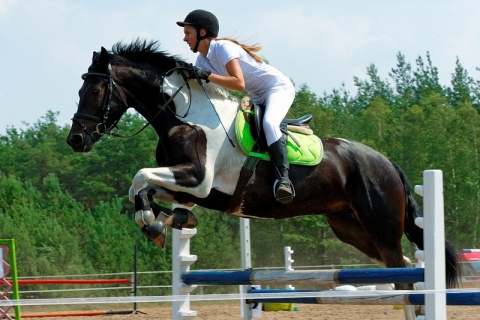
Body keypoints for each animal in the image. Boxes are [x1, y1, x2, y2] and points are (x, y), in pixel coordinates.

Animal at [65, 38, 460, 292]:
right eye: (81, 90)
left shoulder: (198, 180)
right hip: (351, 228)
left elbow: (138, 177)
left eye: (96, 91)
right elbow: (144, 189)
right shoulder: (190, 188)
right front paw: (167, 221)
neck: (183, 116)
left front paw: (156, 222)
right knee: (401, 267)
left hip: (381, 226)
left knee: (403, 272)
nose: (76, 140)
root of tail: (387, 162)